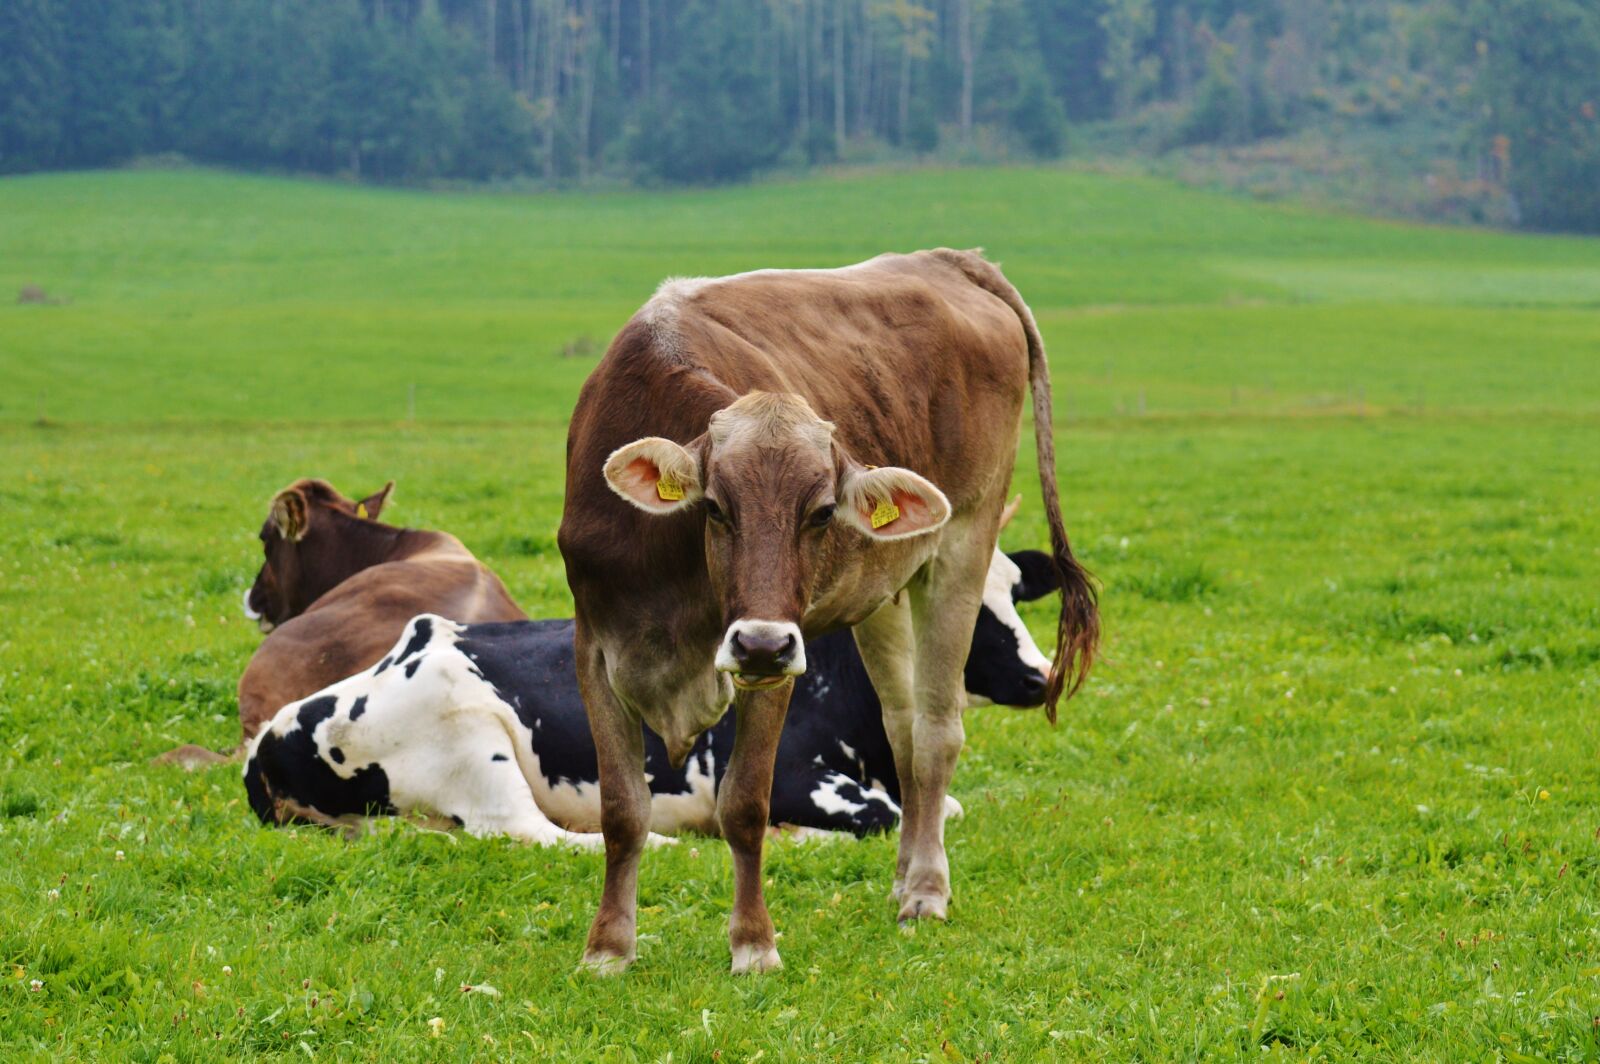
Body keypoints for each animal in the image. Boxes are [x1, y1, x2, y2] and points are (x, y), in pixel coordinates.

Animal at [243, 545, 1061, 841]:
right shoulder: (790, 778)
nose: (1040, 675)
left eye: (1016, 592)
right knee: (532, 833)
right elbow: (884, 817)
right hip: (475, 747)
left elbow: (940, 806)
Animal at [557, 249, 1099, 974]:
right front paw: (608, 949)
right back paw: (901, 877)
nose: (761, 643)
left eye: (819, 514)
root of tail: (951, 260)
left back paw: (925, 889)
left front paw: (754, 944)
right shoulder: (594, 646)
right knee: (903, 732)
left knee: (935, 732)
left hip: (961, 547)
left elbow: (745, 803)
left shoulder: (773, 665)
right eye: (715, 508)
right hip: (883, 593)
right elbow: (621, 809)